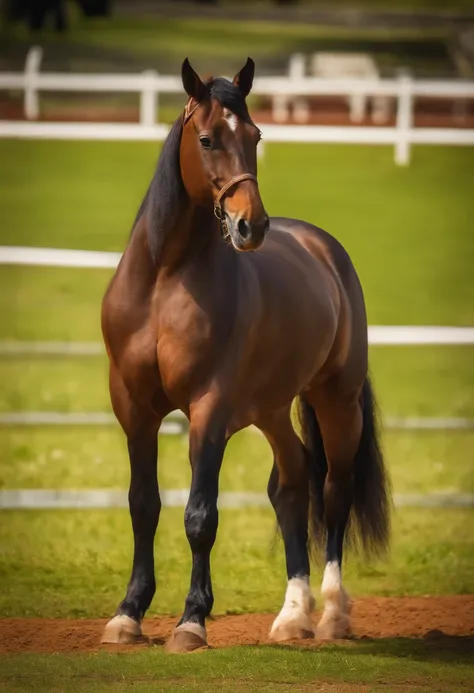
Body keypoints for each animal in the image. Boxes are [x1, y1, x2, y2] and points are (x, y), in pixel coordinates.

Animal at [99, 56, 388, 652]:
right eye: (207, 138)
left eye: (255, 135)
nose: (251, 225)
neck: (163, 283)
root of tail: (326, 250)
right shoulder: (134, 408)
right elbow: (143, 505)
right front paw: (128, 614)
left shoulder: (209, 410)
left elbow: (199, 515)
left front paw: (191, 620)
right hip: (271, 409)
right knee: (291, 484)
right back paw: (293, 616)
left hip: (336, 400)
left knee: (334, 490)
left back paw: (332, 614)